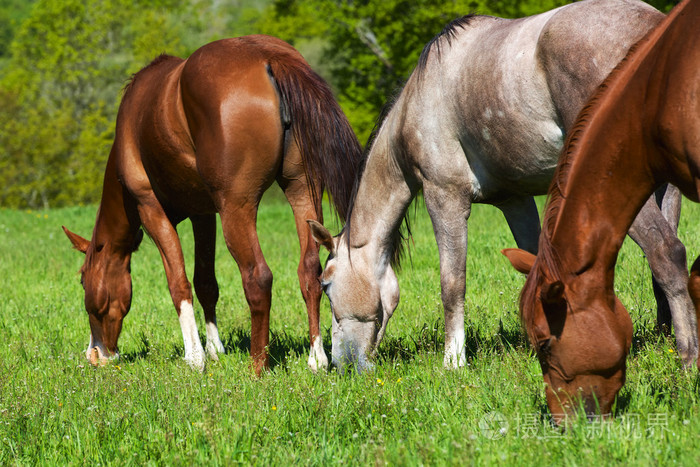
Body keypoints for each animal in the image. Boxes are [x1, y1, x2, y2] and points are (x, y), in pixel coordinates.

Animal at [63, 34, 364, 374]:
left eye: (83, 280)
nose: (95, 353)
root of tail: (268, 56)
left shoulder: (150, 209)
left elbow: (178, 283)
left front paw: (195, 357)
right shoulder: (203, 214)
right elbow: (205, 281)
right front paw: (214, 348)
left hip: (237, 209)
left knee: (258, 277)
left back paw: (257, 367)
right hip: (303, 192)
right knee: (309, 270)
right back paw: (316, 358)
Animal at [310, 0, 696, 372]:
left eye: (325, 285)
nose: (342, 365)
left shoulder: (445, 198)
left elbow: (452, 283)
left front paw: (453, 362)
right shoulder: (516, 200)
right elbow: (536, 263)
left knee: (666, 251)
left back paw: (687, 358)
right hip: (663, 185)